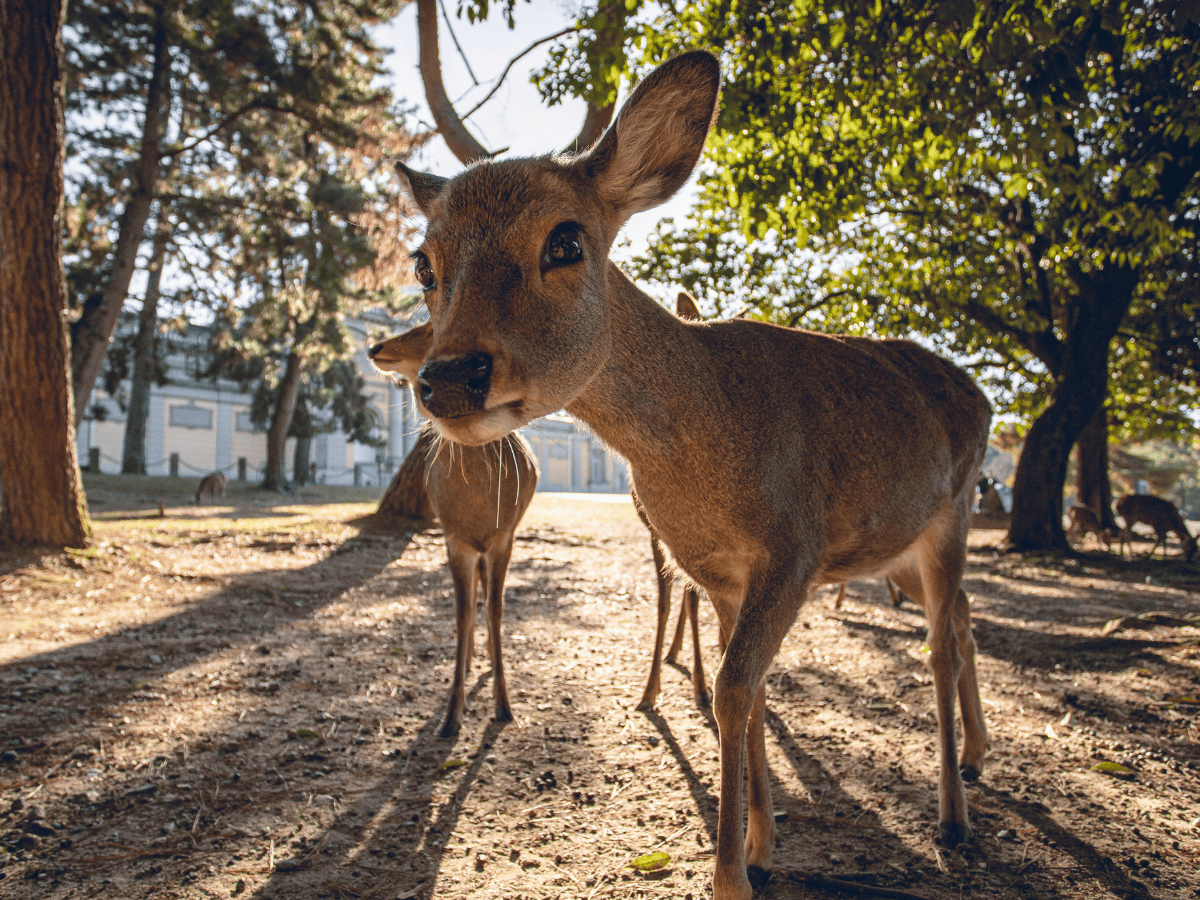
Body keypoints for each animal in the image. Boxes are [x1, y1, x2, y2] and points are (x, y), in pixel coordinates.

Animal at [368, 322, 539, 738]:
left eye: (429, 327)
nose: (375, 347)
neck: (476, 507)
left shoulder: (503, 538)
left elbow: (496, 608)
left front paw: (504, 706)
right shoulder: (454, 539)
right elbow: (461, 613)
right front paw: (450, 715)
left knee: (486, 595)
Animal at [393, 50, 991, 900]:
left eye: (566, 241)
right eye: (424, 264)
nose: (449, 379)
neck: (704, 459)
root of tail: (984, 395)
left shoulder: (794, 548)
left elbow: (736, 690)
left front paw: (732, 874)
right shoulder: (714, 569)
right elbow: (752, 688)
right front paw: (765, 845)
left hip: (954, 511)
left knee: (941, 644)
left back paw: (953, 818)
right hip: (902, 543)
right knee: (967, 622)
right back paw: (974, 761)